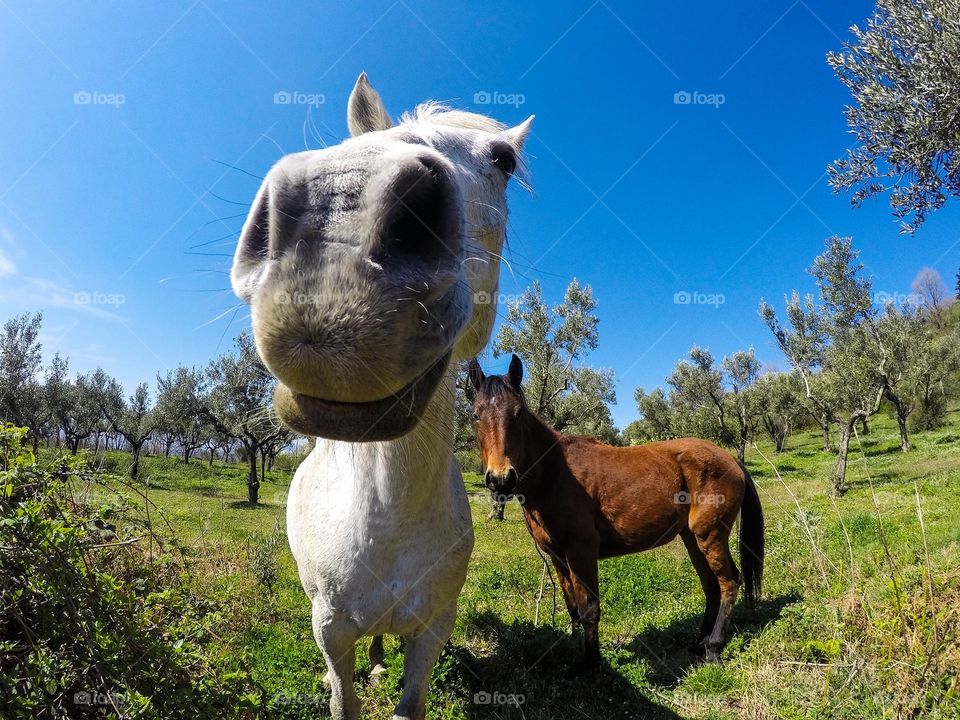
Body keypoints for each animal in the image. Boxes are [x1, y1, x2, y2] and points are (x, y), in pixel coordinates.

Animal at [232, 74, 532, 720]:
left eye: (503, 160)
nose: (338, 211)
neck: (391, 517)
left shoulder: (434, 629)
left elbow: (409, 701)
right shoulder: (330, 629)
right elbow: (343, 699)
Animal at [466, 358, 764, 668]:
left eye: (518, 413)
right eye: (476, 415)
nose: (501, 479)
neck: (555, 473)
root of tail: (730, 459)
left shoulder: (582, 552)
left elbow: (589, 610)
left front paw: (591, 664)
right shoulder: (559, 559)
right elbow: (573, 609)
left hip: (710, 535)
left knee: (729, 582)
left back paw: (714, 648)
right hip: (692, 538)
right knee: (711, 585)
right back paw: (700, 642)